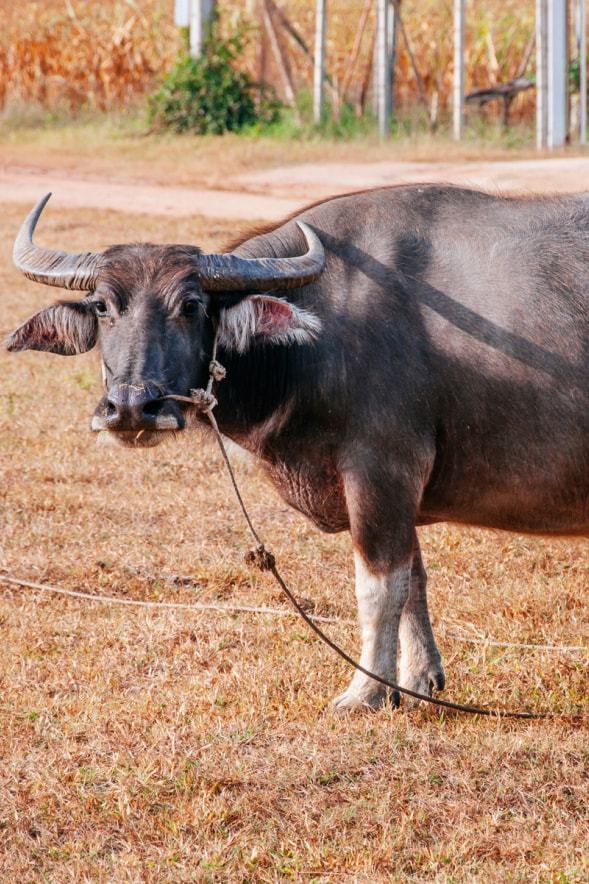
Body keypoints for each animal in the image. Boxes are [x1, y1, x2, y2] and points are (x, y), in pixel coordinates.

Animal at [5, 186, 588, 712]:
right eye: (103, 307)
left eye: (191, 306)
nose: (130, 408)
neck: (316, 339)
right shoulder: (398, 493)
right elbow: (414, 581)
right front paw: (417, 681)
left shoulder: (381, 470)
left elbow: (379, 589)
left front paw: (365, 693)